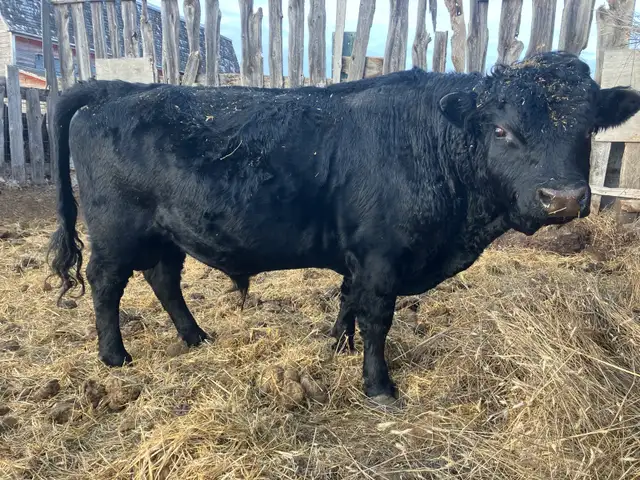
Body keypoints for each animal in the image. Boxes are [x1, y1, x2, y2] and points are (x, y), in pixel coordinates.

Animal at [46, 51, 640, 408]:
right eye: (501, 129)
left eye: (589, 127)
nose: (563, 199)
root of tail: (116, 87)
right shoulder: (381, 257)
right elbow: (377, 317)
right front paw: (378, 384)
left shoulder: (359, 255)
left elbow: (348, 299)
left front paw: (337, 345)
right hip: (118, 231)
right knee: (106, 284)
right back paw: (115, 356)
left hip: (165, 232)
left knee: (164, 279)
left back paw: (196, 338)